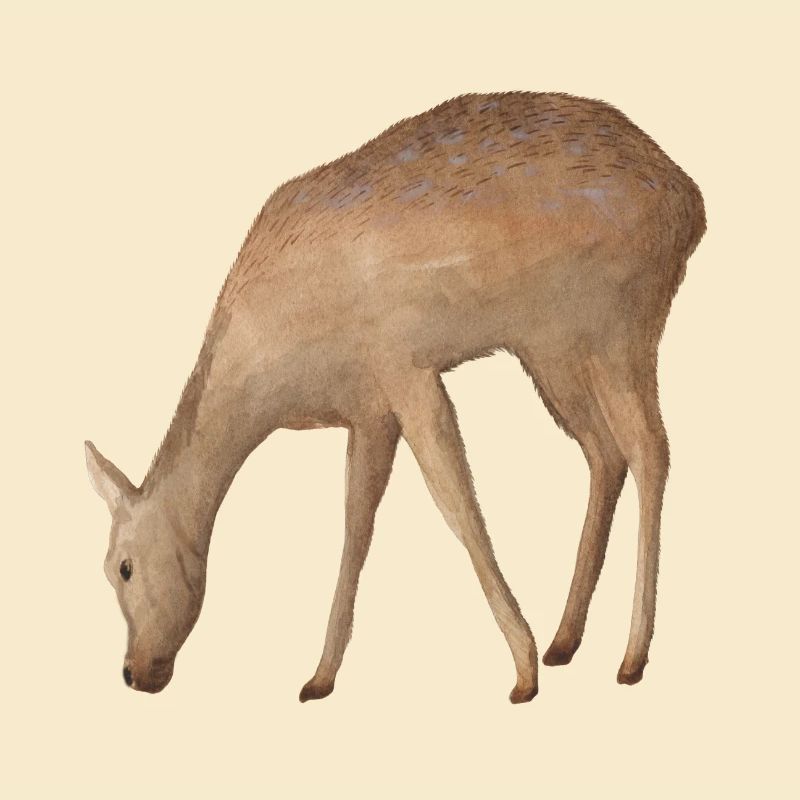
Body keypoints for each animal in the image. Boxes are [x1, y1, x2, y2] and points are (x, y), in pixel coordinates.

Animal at [85, 92, 705, 703]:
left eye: (123, 567)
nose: (135, 673)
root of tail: (691, 204)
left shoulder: (404, 366)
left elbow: (457, 505)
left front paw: (522, 673)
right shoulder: (368, 409)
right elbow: (356, 526)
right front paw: (319, 677)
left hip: (621, 320)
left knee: (651, 448)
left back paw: (630, 657)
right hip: (550, 345)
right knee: (604, 451)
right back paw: (565, 641)